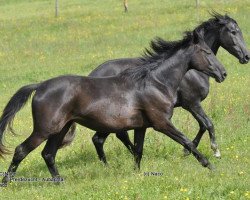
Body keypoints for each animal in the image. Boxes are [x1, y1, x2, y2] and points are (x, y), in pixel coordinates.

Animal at [0, 30, 227, 181]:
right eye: (206, 52)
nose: (223, 73)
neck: (155, 82)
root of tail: (40, 86)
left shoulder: (141, 126)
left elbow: (138, 150)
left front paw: (137, 174)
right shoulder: (162, 123)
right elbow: (187, 142)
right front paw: (210, 165)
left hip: (60, 129)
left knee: (48, 154)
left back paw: (59, 182)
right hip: (45, 129)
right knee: (21, 150)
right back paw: (7, 182)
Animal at [61, 12, 250, 162]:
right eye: (234, 32)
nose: (246, 57)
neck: (191, 70)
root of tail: (92, 75)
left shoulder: (190, 105)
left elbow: (203, 125)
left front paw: (187, 150)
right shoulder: (192, 103)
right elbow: (208, 124)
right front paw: (214, 151)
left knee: (110, 136)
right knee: (101, 138)